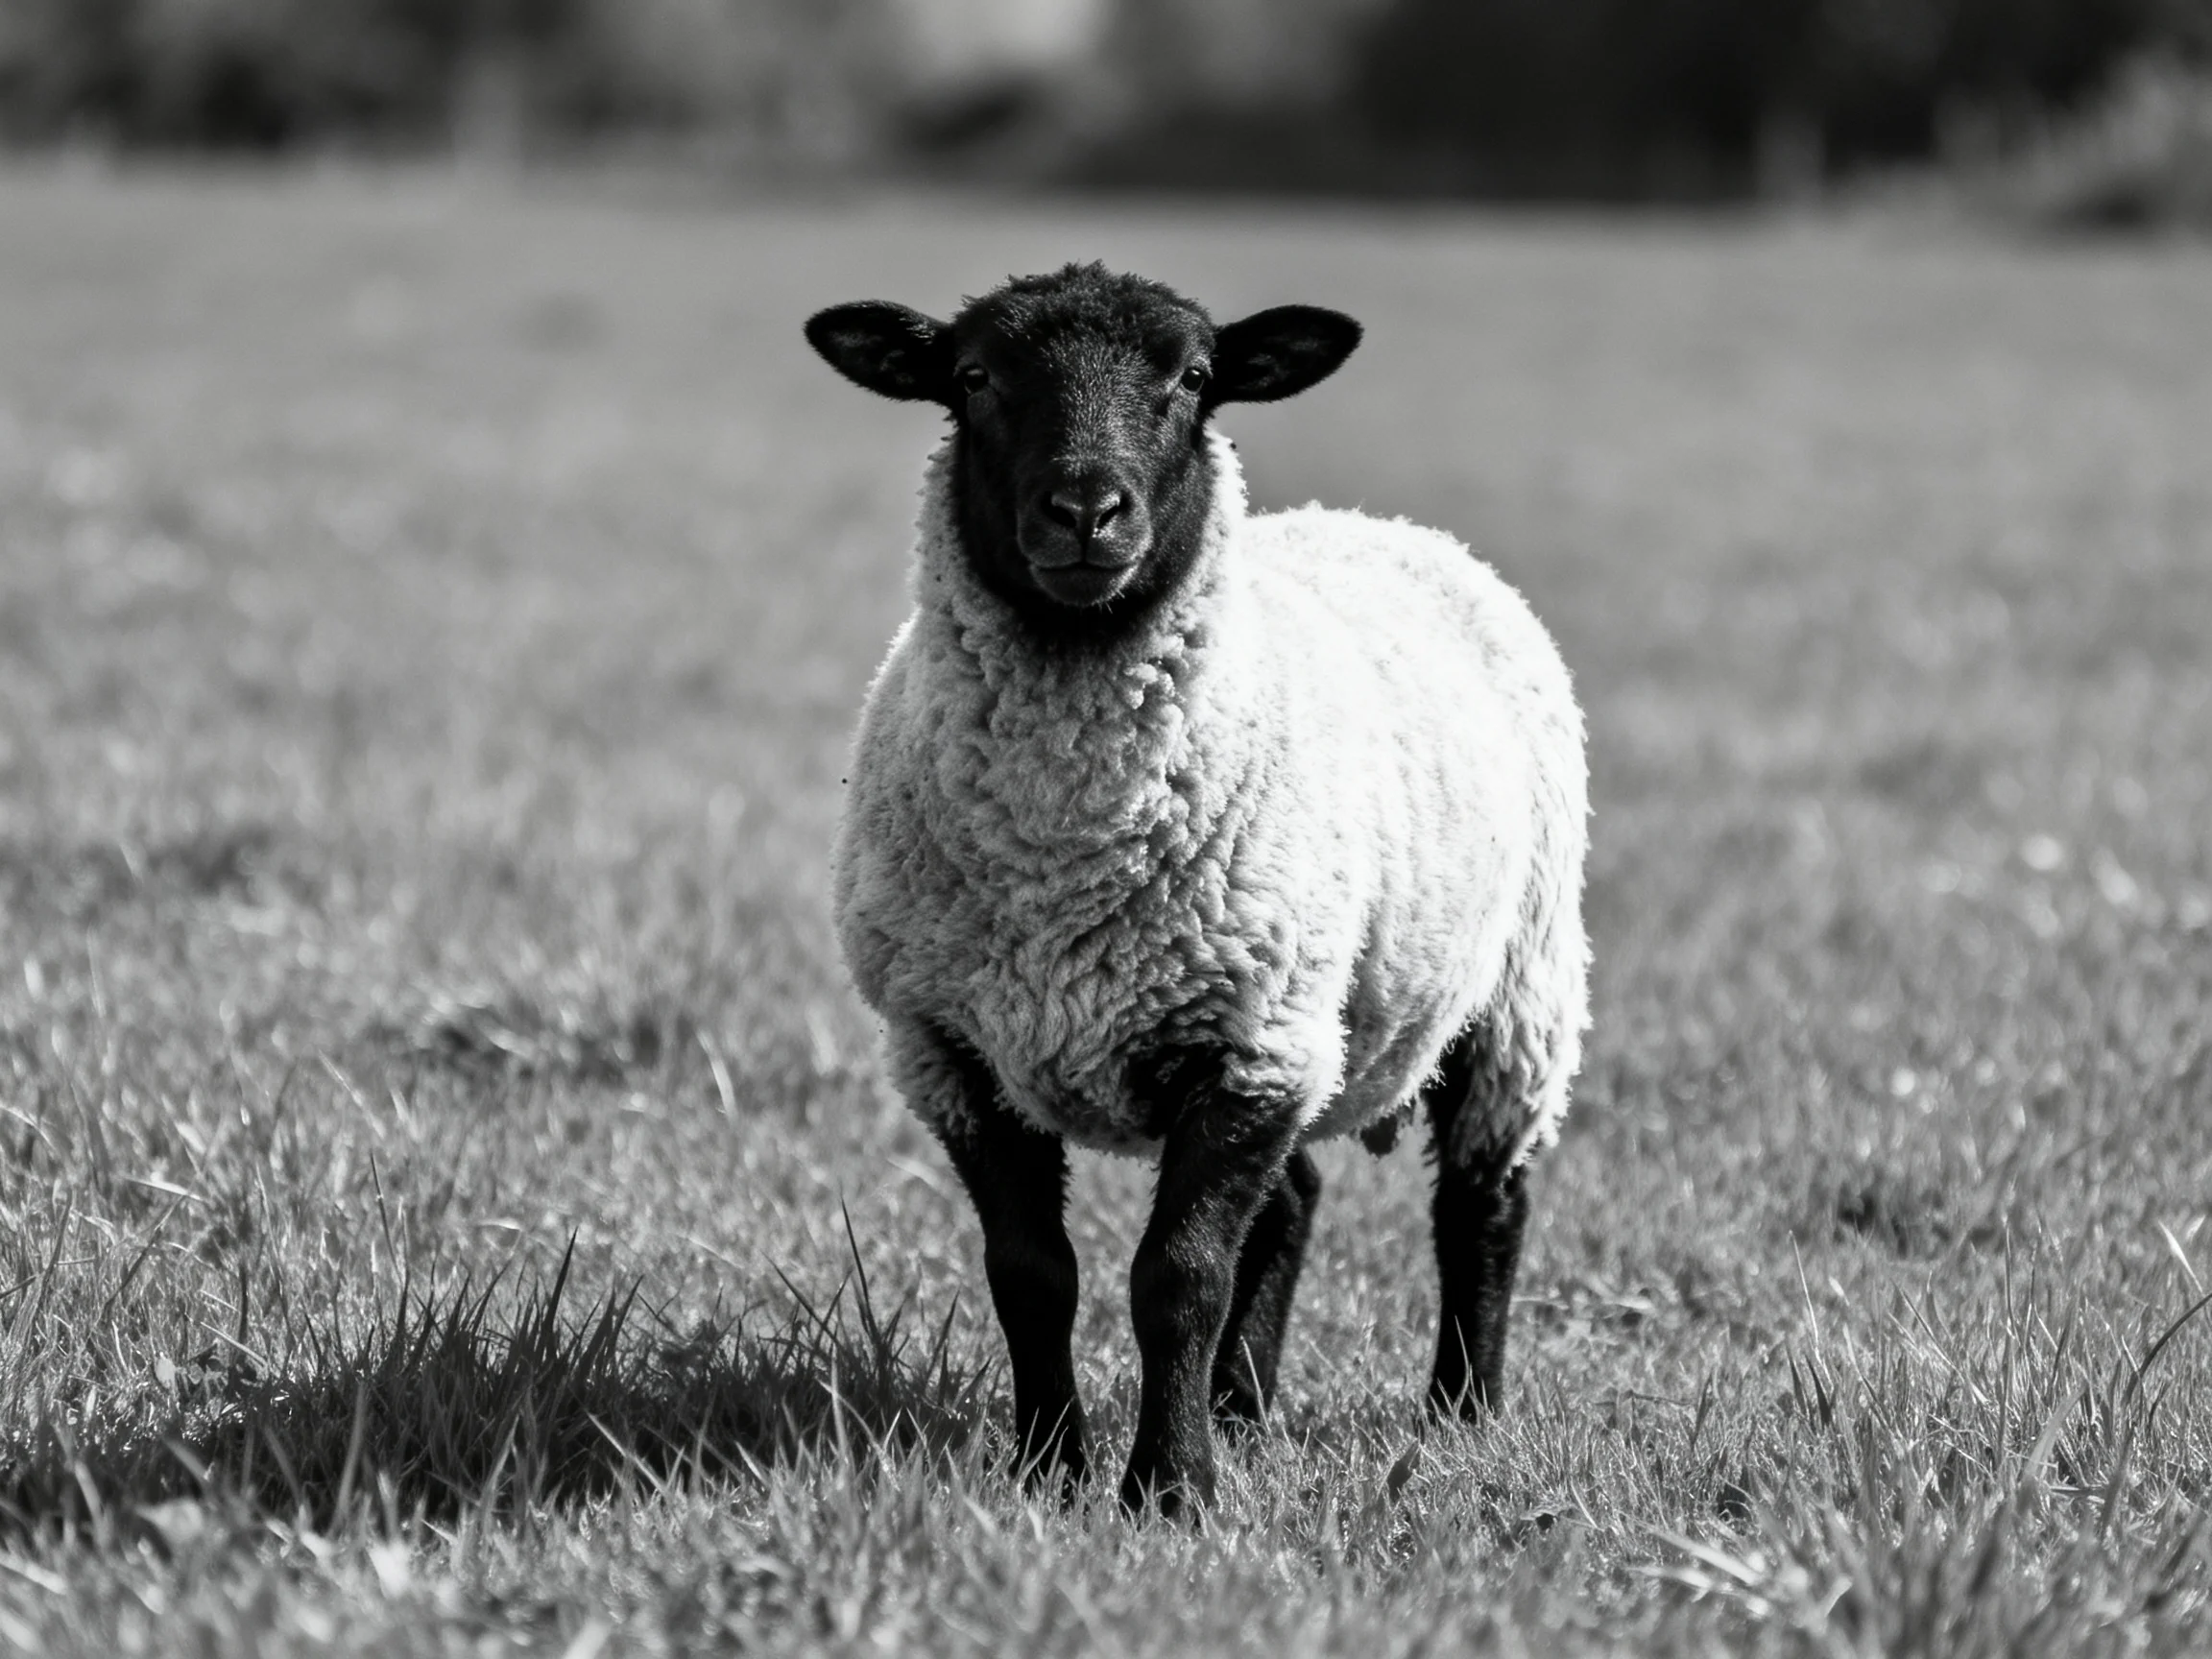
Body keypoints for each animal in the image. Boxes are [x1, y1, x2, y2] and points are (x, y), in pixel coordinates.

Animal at [805, 262, 1589, 1517]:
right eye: (972, 377)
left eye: (1195, 378)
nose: (1087, 511)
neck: (1064, 848)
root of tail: (1373, 522)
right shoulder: (955, 1054)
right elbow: (1032, 1274)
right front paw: (1049, 1468)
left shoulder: (1244, 1049)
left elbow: (1176, 1278)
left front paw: (1170, 1492)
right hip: (1307, 1013)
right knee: (1296, 1199)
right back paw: (1241, 1402)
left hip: (1515, 985)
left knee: (1483, 1200)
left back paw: (1462, 1413)